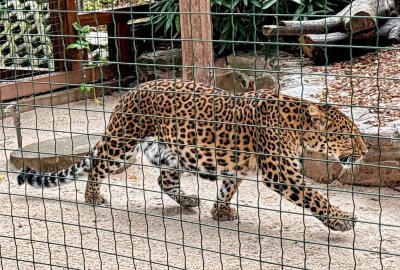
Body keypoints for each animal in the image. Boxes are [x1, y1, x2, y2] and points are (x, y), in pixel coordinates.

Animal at [18, 78, 368, 232]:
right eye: (349, 135)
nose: (365, 152)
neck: (296, 126)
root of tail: (131, 92)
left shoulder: (237, 166)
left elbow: (227, 188)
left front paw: (219, 212)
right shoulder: (281, 173)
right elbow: (314, 197)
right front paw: (340, 219)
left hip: (170, 153)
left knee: (164, 181)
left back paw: (188, 201)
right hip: (122, 147)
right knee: (98, 166)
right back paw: (92, 196)